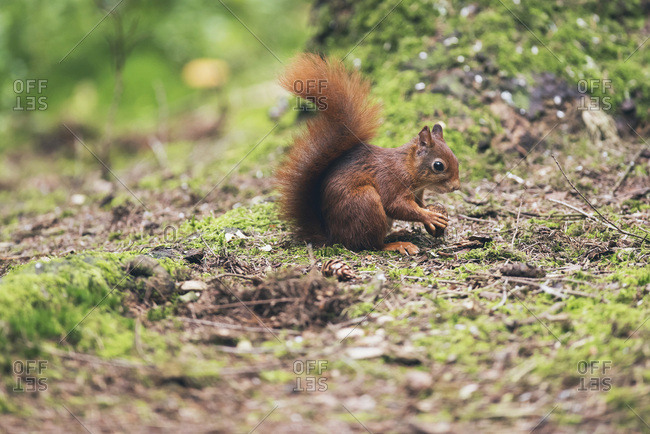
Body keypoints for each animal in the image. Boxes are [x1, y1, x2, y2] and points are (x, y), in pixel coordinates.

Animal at [276, 53, 460, 255]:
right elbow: (397, 205)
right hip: (365, 202)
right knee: (371, 245)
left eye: (456, 159)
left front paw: (433, 214)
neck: (408, 167)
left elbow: (418, 204)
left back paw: (398, 234)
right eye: (438, 166)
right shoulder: (391, 181)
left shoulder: (418, 193)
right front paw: (429, 217)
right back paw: (397, 244)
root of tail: (333, 237)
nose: (456, 187)